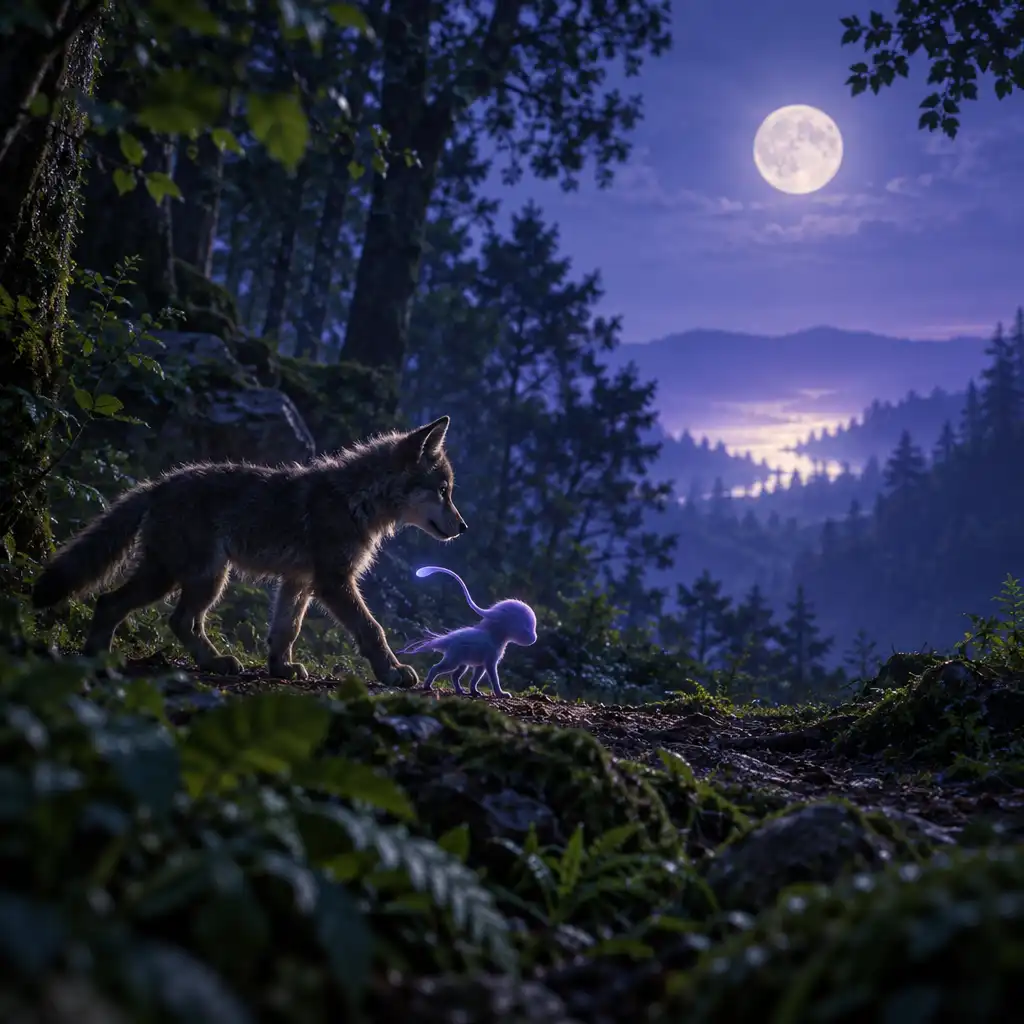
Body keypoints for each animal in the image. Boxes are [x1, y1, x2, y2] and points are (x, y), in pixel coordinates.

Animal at [31, 416, 466, 687]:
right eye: (443, 491)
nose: (463, 528)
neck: (355, 500)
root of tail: (157, 484)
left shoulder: (298, 582)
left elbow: (286, 630)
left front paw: (281, 668)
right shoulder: (334, 582)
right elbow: (372, 629)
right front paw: (393, 672)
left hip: (199, 578)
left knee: (166, 617)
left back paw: (206, 662)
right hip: (192, 578)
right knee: (128, 607)